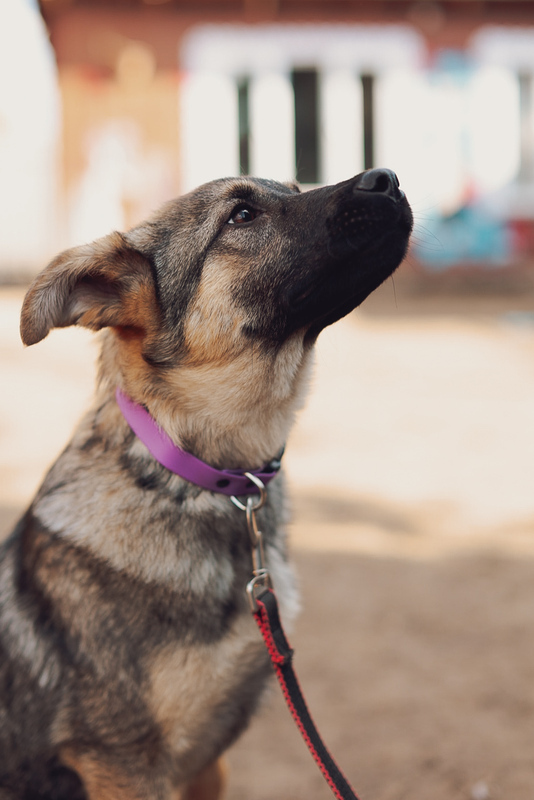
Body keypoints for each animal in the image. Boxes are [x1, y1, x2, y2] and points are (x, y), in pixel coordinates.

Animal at [0, 167, 414, 792]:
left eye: (294, 188)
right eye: (240, 216)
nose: (386, 178)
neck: (189, 474)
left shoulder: (207, 765)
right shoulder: (123, 765)